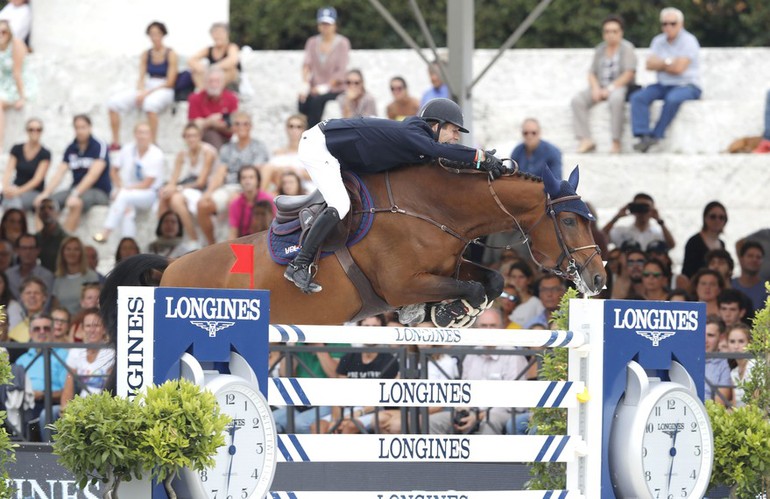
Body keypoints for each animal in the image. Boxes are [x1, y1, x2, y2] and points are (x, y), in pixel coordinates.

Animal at [100, 162, 608, 330]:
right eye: (568, 220)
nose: (600, 278)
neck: (431, 207)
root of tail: (169, 269)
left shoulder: (449, 266)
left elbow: (491, 279)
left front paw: (448, 313)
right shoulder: (402, 283)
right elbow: (467, 288)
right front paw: (442, 312)